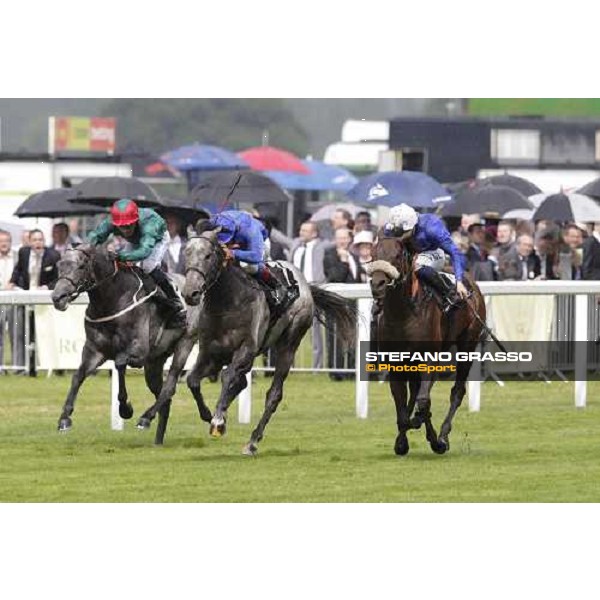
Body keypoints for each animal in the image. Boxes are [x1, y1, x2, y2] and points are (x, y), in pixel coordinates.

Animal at [50, 244, 212, 446]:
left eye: (80, 266)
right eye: (59, 265)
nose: (58, 297)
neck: (112, 299)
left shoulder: (138, 351)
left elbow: (119, 363)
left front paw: (125, 409)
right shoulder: (94, 351)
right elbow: (78, 376)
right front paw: (64, 418)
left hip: (185, 342)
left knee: (172, 385)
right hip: (154, 362)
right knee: (164, 396)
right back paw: (157, 439)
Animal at [137, 230, 356, 454]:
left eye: (208, 256)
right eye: (186, 254)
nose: (190, 293)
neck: (227, 302)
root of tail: (305, 285)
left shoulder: (245, 350)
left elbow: (227, 377)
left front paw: (217, 419)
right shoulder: (211, 354)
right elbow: (192, 380)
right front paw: (206, 415)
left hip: (288, 344)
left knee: (274, 394)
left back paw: (252, 441)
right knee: (240, 382)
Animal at [366, 234, 488, 454]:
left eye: (398, 255)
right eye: (373, 255)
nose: (378, 284)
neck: (402, 314)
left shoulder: (429, 359)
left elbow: (423, 403)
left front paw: (435, 440)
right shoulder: (395, 364)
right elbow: (403, 407)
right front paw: (401, 442)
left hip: (468, 344)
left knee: (456, 392)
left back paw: (443, 435)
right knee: (415, 393)